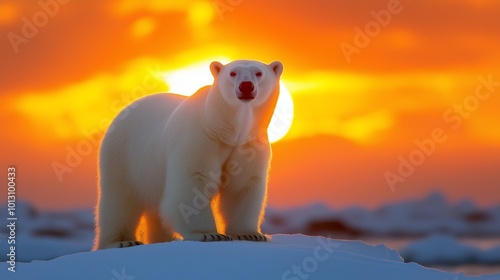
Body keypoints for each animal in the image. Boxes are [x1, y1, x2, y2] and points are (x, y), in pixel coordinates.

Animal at [95, 59, 284, 249]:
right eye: (233, 73)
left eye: (258, 73)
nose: (246, 86)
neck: (225, 130)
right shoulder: (199, 137)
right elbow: (194, 182)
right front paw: (208, 234)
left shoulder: (248, 145)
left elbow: (242, 186)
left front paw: (250, 234)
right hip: (122, 155)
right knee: (120, 200)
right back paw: (122, 241)